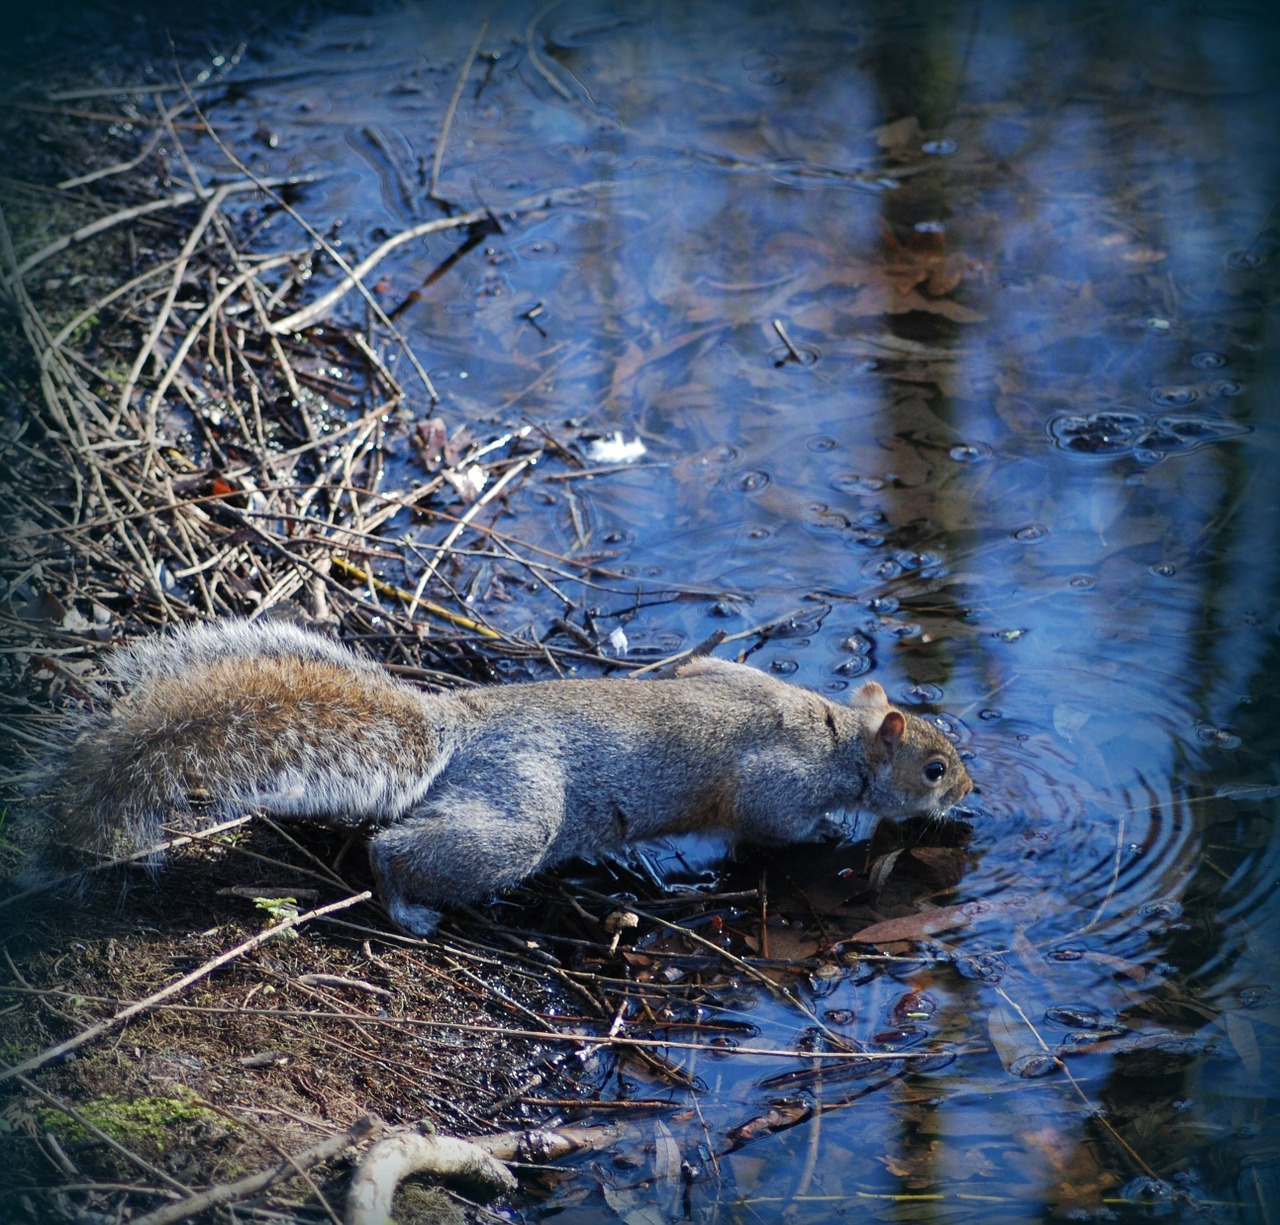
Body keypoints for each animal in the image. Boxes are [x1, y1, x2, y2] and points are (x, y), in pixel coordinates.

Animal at [22, 616, 967, 931]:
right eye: (933, 766)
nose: (970, 793)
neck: (837, 734)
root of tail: (456, 729)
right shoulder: (775, 779)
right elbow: (771, 822)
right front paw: (842, 829)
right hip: (520, 813)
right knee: (396, 848)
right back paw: (407, 905)